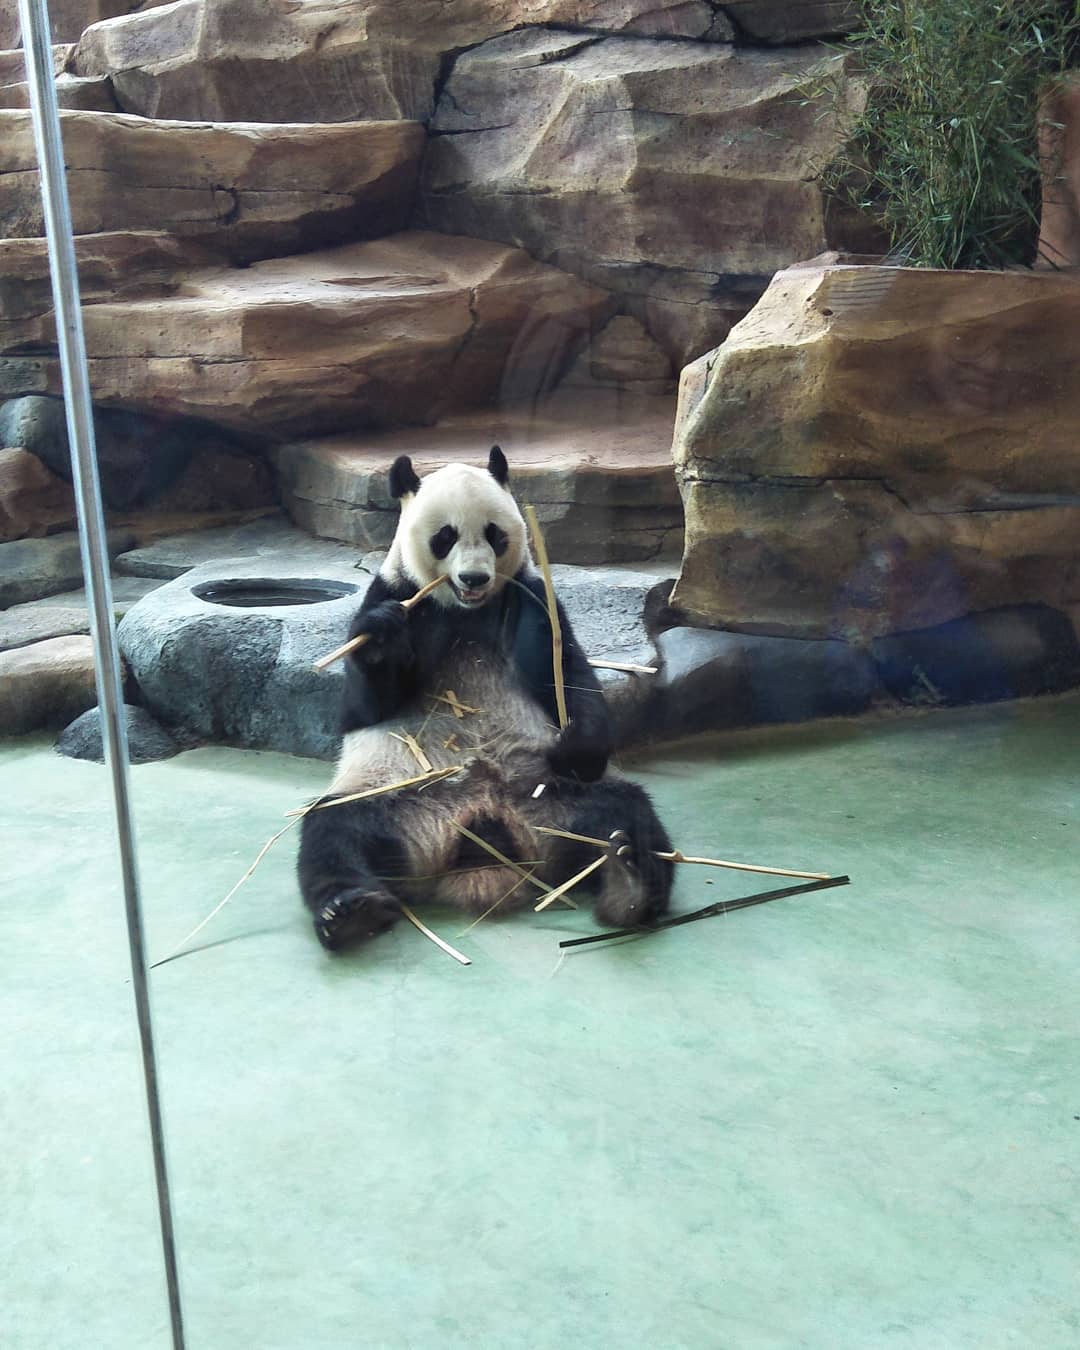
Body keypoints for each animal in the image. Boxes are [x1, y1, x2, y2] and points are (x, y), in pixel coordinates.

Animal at [298, 445, 674, 950]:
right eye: (445, 536)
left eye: (495, 535)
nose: (474, 578)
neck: (464, 611)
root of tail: (482, 834)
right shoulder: (397, 591)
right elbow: (363, 707)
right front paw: (380, 636)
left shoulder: (531, 600)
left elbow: (568, 675)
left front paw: (578, 747)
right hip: (397, 801)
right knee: (334, 831)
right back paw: (350, 912)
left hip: (553, 799)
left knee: (627, 813)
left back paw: (630, 885)